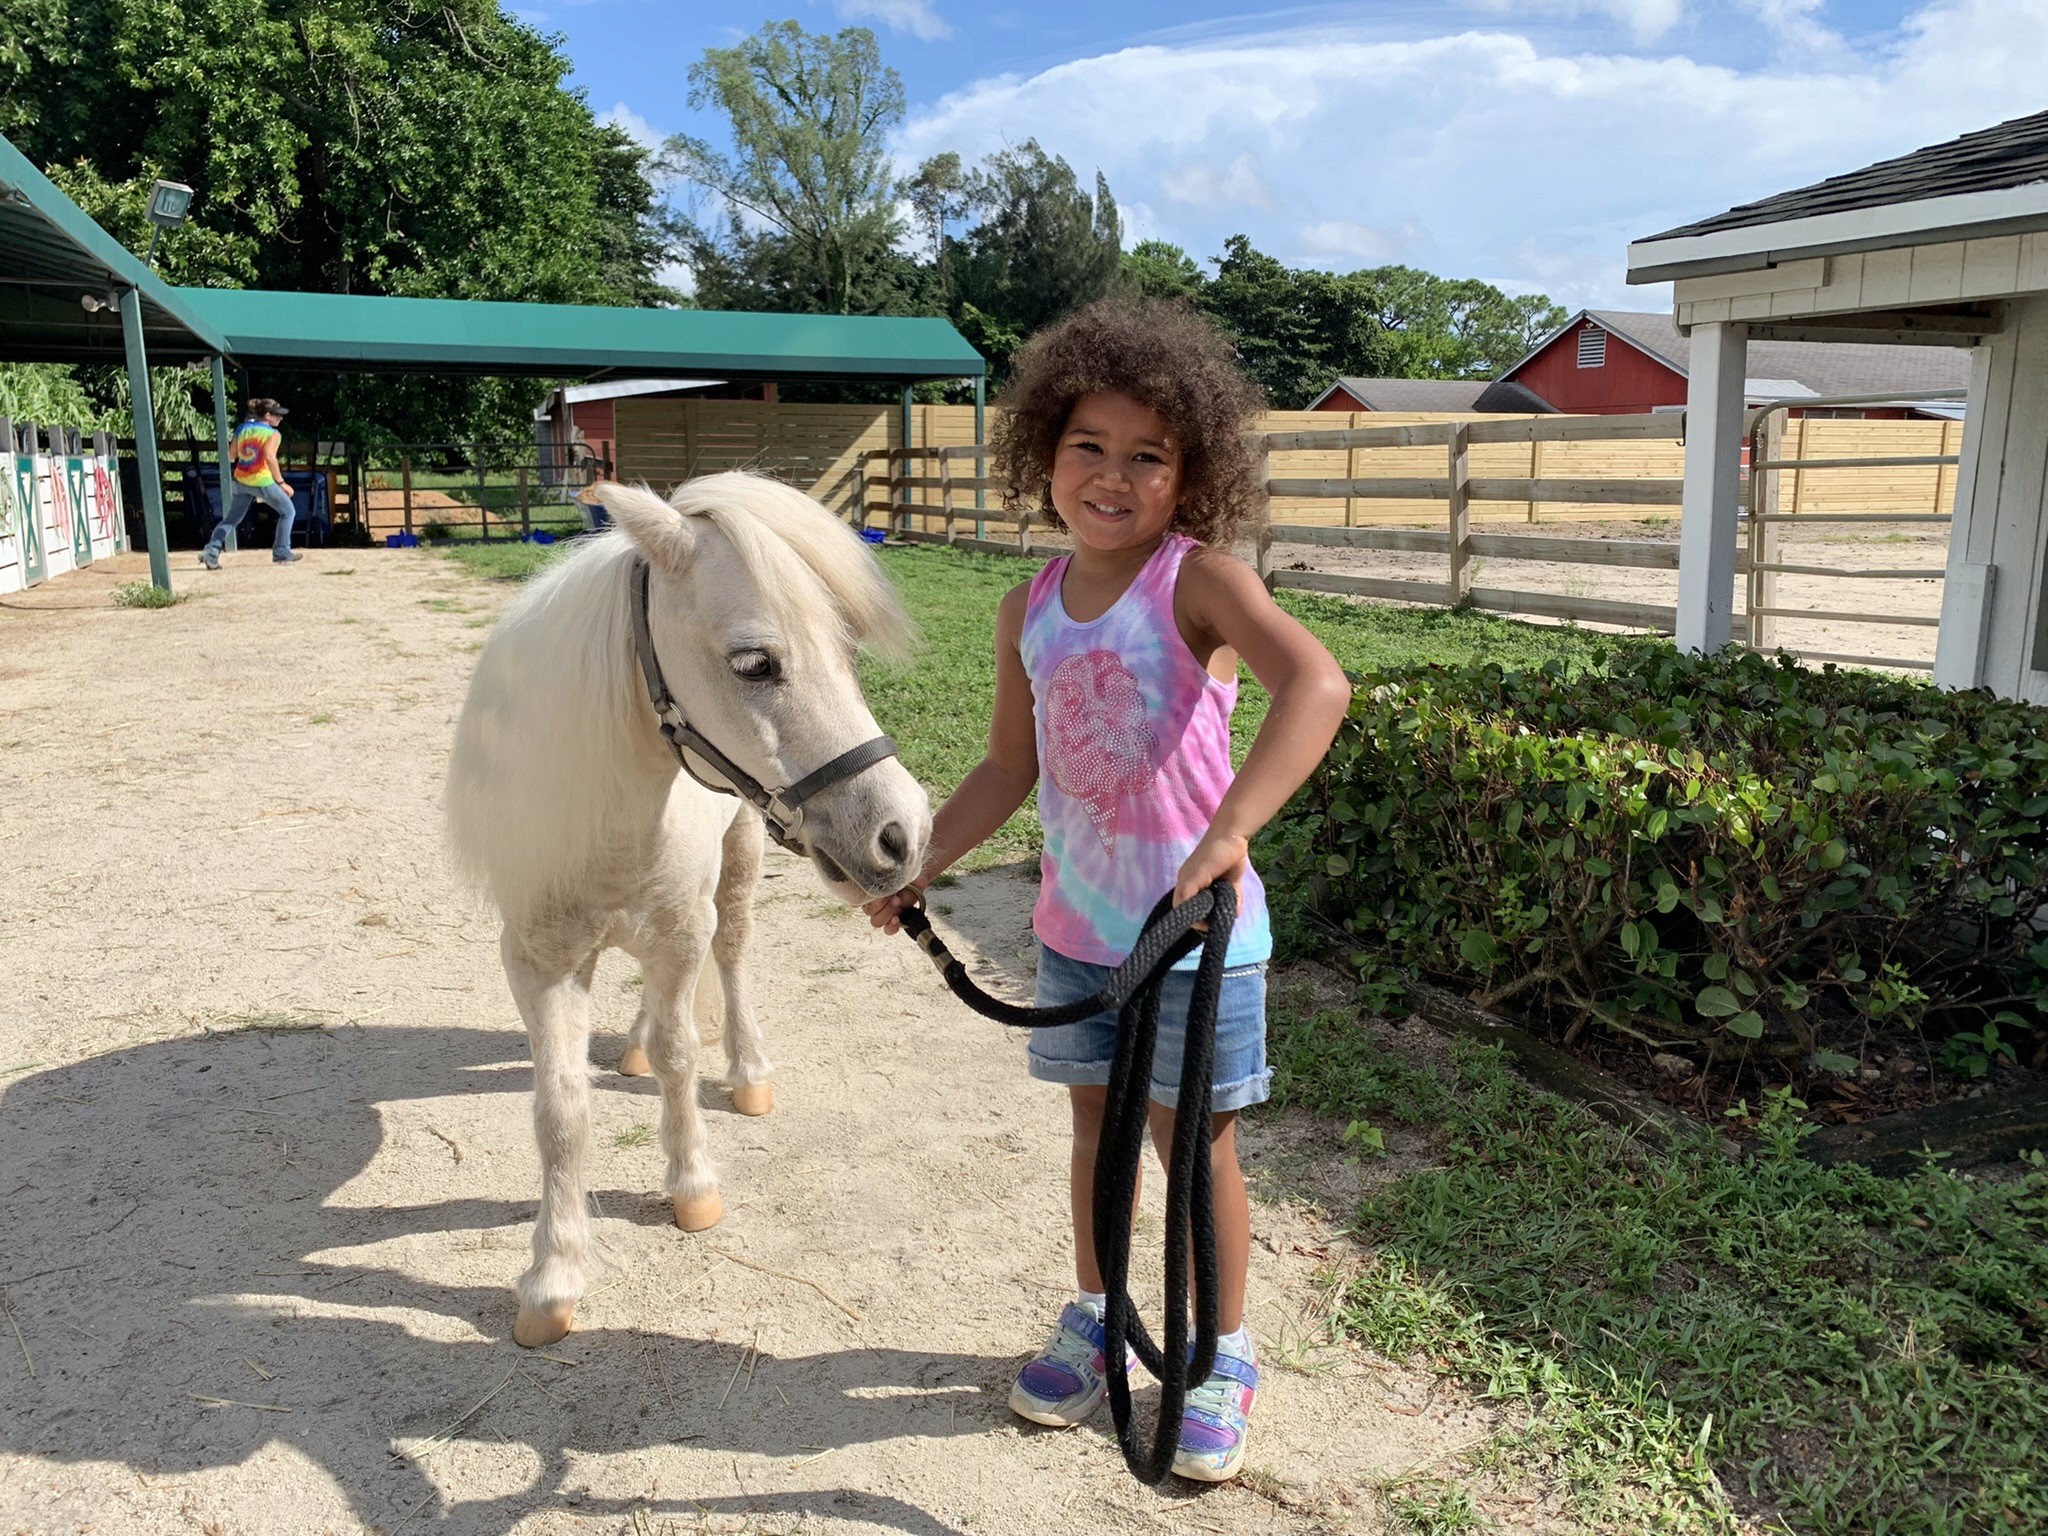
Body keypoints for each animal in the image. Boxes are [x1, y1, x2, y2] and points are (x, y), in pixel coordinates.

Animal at [452, 479, 933, 1343]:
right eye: (755, 663)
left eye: (847, 653)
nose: (901, 833)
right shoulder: (539, 966)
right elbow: (560, 1111)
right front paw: (552, 1278)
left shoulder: (679, 937)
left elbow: (682, 1058)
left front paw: (692, 1186)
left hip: (737, 863)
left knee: (733, 956)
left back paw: (746, 1072)